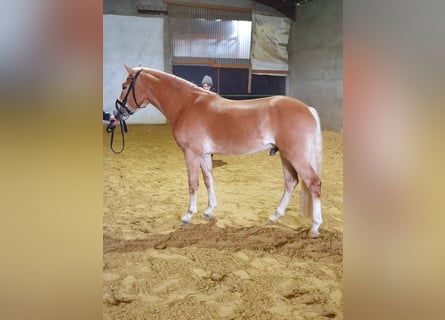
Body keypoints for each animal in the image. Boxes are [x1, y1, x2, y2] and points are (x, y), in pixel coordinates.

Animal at [112, 64, 322, 238]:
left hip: (295, 155)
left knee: (313, 183)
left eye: (124, 86)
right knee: (291, 182)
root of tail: (308, 109)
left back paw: (314, 227)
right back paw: (274, 216)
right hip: (285, 155)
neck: (187, 105)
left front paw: (189, 215)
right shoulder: (204, 155)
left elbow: (193, 183)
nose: (116, 114)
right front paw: (209, 210)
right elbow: (208, 180)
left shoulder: (191, 153)